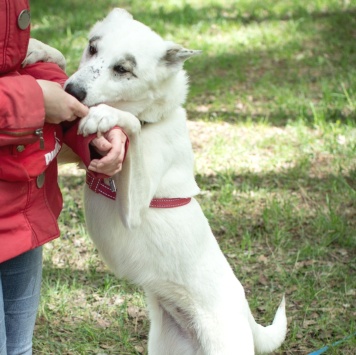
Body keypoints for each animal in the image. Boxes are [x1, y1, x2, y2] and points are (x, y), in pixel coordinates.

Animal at [28, 9, 290, 355]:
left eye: (123, 69)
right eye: (92, 48)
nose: (72, 92)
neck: (155, 119)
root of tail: (245, 313)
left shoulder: (133, 209)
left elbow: (132, 128)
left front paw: (107, 115)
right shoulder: (75, 150)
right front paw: (40, 49)